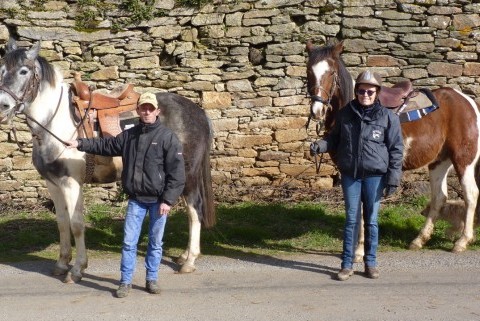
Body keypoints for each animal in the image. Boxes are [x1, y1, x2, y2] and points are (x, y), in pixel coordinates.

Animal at [306, 40, 480, 256]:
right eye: (309, 71)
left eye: (331, 72)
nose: (317, 110)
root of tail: (468, 101)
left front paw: (360, 251)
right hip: (439, 162)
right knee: (439, 198)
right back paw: (419, 240)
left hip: (463, 160)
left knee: (470, 194)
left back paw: (462, 241)